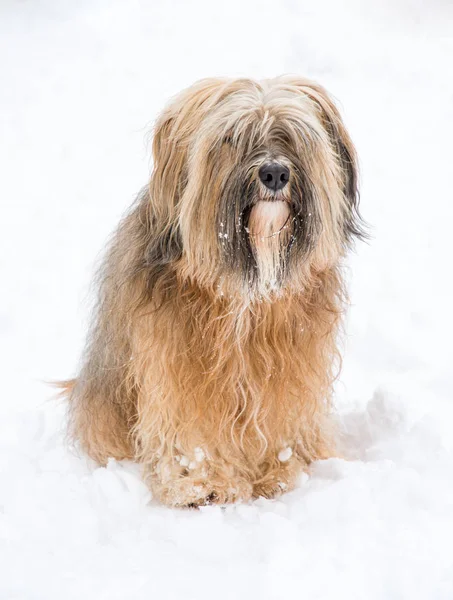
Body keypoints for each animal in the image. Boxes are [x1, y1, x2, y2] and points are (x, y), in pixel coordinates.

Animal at [61, 75, 364, 506]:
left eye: (290, 136)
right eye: (231, 138)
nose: (274, 174)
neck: (247, 288)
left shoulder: (289, 362)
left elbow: (279, 414)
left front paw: (278, 472)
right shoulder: (175, 362)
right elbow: (189, 422)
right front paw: (200, 482)